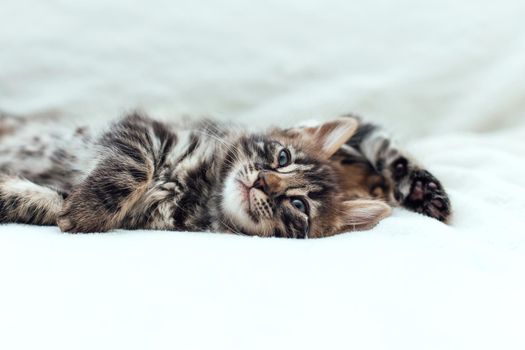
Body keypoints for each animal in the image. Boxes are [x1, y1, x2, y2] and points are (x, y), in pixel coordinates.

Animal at [0, 112, 450, 238]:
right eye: (282, 157)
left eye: (299, 204)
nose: (263, 182)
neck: (200, 189)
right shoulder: (142, 131)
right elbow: (133, 166)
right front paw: (90, 208)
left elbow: (38, 201)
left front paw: (79, 213)